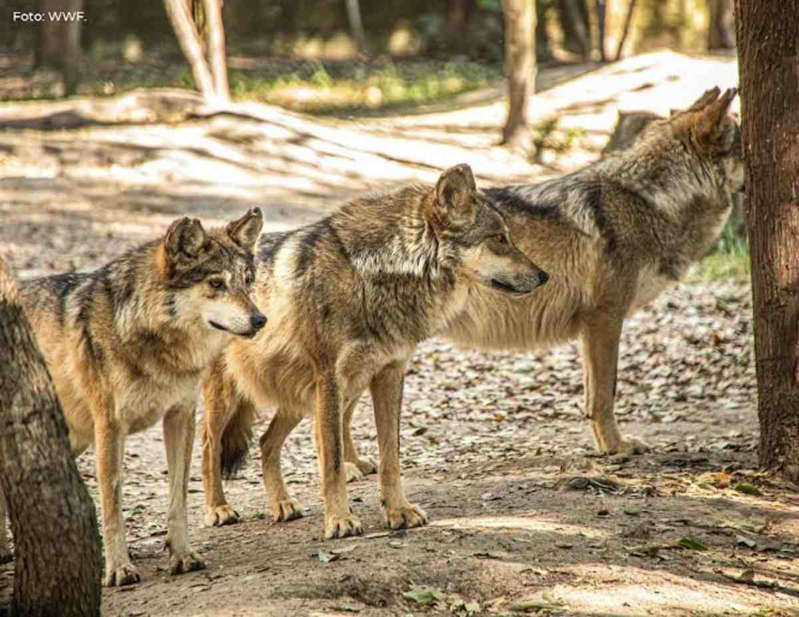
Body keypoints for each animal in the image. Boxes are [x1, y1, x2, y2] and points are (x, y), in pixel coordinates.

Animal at [0, 208, 268, 588]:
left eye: (247, 280)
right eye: (216, 284)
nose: (260, 319)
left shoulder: (180, 416)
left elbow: (178, 497)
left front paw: (182, 556)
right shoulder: (111, 427)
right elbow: (112, 503)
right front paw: (118, 569)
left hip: (72, 439)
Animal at [200, 162, 552, 536]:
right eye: (499, 239)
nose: (544, 276)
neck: (373, 274)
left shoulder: (389, 374)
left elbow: (390, 455)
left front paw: (398, 511)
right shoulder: (330, 379)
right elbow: (333, 461)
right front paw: (339, 519)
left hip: (306, 397)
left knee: (266, 443)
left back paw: (282, 504)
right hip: (234, 398)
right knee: (209, 447)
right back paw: (218, 508)